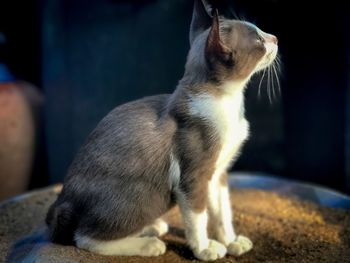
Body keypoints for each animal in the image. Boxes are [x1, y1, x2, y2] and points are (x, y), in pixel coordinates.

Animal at [45, 0, 278, 260]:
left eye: (261, 32)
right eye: (258, 40)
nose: (275, 38)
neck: (228, 102)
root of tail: (62, 199)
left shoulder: (217, 172)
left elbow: (222, 211)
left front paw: (231, 241)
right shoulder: (194, 176)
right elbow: (198, 216)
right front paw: (204, 248)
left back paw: (152, 228)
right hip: (144, 194)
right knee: (85, 237)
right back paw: (149, 244)